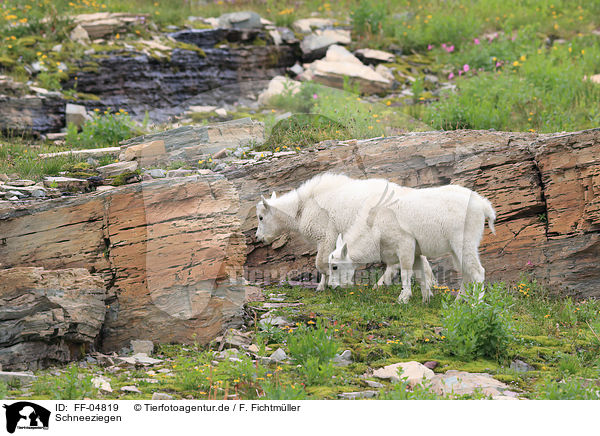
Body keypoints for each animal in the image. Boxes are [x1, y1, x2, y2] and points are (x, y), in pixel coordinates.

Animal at [255, 172, 434, 292]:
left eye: (261, 217)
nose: (258, 238)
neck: (301, 208)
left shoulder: (325, 234)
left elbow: (321, 263)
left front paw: (331, 284)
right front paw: (324, 285)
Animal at [330, 184, 494, 304]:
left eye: (335, 266)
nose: (332, 286)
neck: (374, 227)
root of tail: (483, 205)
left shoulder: (405, 244)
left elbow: (406, 272)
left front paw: (403, 298)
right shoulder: (416, 252)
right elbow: (420, 274)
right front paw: (426, 299)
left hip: (464, 241)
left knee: (478, 271)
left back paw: (476, 304)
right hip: (456, 249)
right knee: (466, 272)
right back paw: (458, 302)